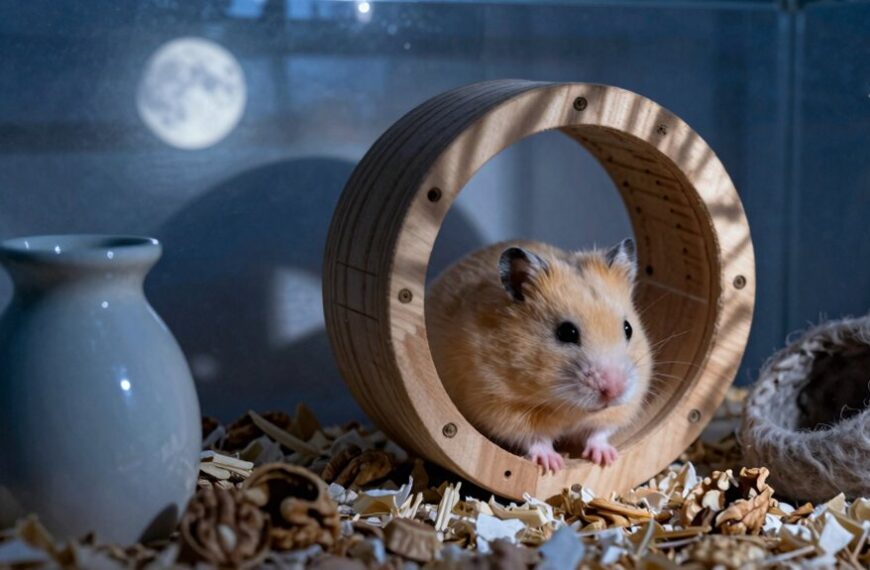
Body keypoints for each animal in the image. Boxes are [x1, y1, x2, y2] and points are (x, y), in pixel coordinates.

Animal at [426, 239, 652, 472]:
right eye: (566, 332)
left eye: (628, 328)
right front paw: (553, 464)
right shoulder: (502, 406)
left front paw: (606, 458)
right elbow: (536, 438)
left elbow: (599, 432)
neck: (570, 408)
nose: (614, 390)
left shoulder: (622, 407)